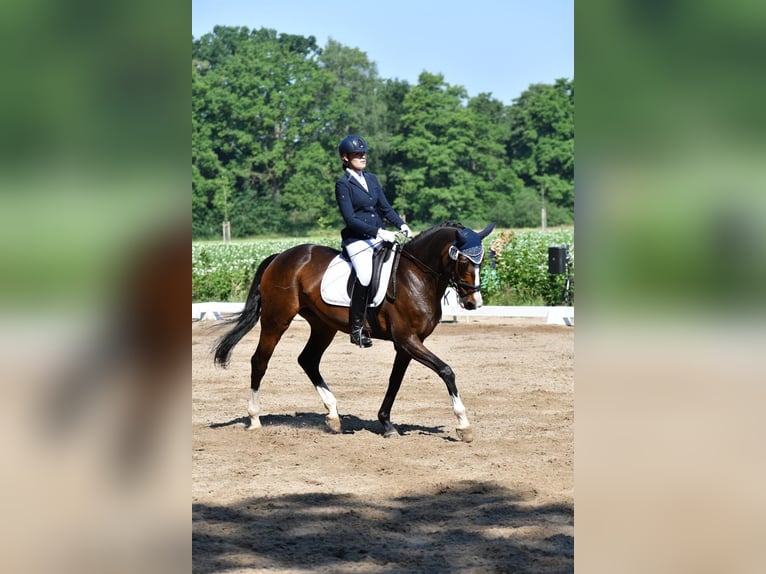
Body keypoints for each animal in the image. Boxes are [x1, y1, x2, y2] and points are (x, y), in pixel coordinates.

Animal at [213, 221, 495, 442]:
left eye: (482, 261)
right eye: (463, 261)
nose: (474, 303)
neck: (417, 276)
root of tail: (281, 256)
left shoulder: (407, 343)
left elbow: (395, 380)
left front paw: (386, 423)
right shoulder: (407, 339)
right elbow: (446, 370)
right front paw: (463, 424)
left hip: (323, 326)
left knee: (308, 360)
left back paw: (333, 415)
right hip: (276, 319)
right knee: (260, 360)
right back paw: (254, 418)